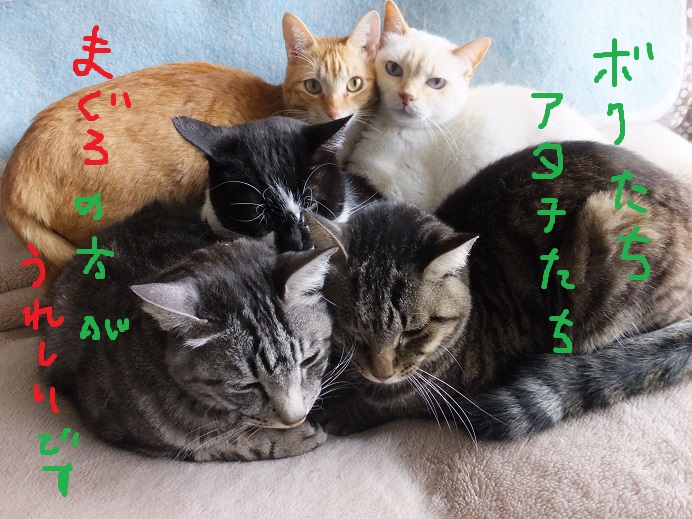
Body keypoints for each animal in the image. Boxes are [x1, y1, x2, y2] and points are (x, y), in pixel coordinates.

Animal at [45, 201, 337, 461]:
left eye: (310, 360)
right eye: (245, 385)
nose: (295, 419)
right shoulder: (123, 428)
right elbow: (218, 441)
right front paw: (295, 437)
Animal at [307, 141, 692, 438]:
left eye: (413, 332)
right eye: (355, 329)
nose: (380, 371)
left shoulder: (453, 390)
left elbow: (395, 402)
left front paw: (343, 412)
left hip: (609, 227)